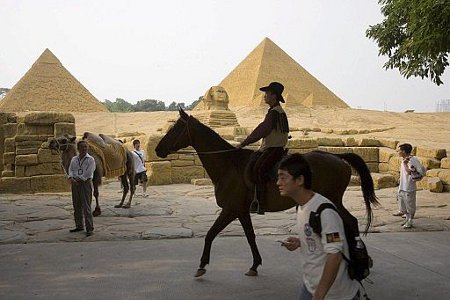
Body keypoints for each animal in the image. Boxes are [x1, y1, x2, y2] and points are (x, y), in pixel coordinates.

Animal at [155, 108, 380, 276]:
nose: (157, 149)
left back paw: (360, 258)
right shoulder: (241, 212)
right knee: (349, 222)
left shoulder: (230, 210)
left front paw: (202, 265)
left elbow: (210, 234)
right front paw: (255, 265)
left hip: (332, 199)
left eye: (175, 128)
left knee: (351, 221)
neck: (229, 164)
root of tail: (337, 157)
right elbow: (250, 236)